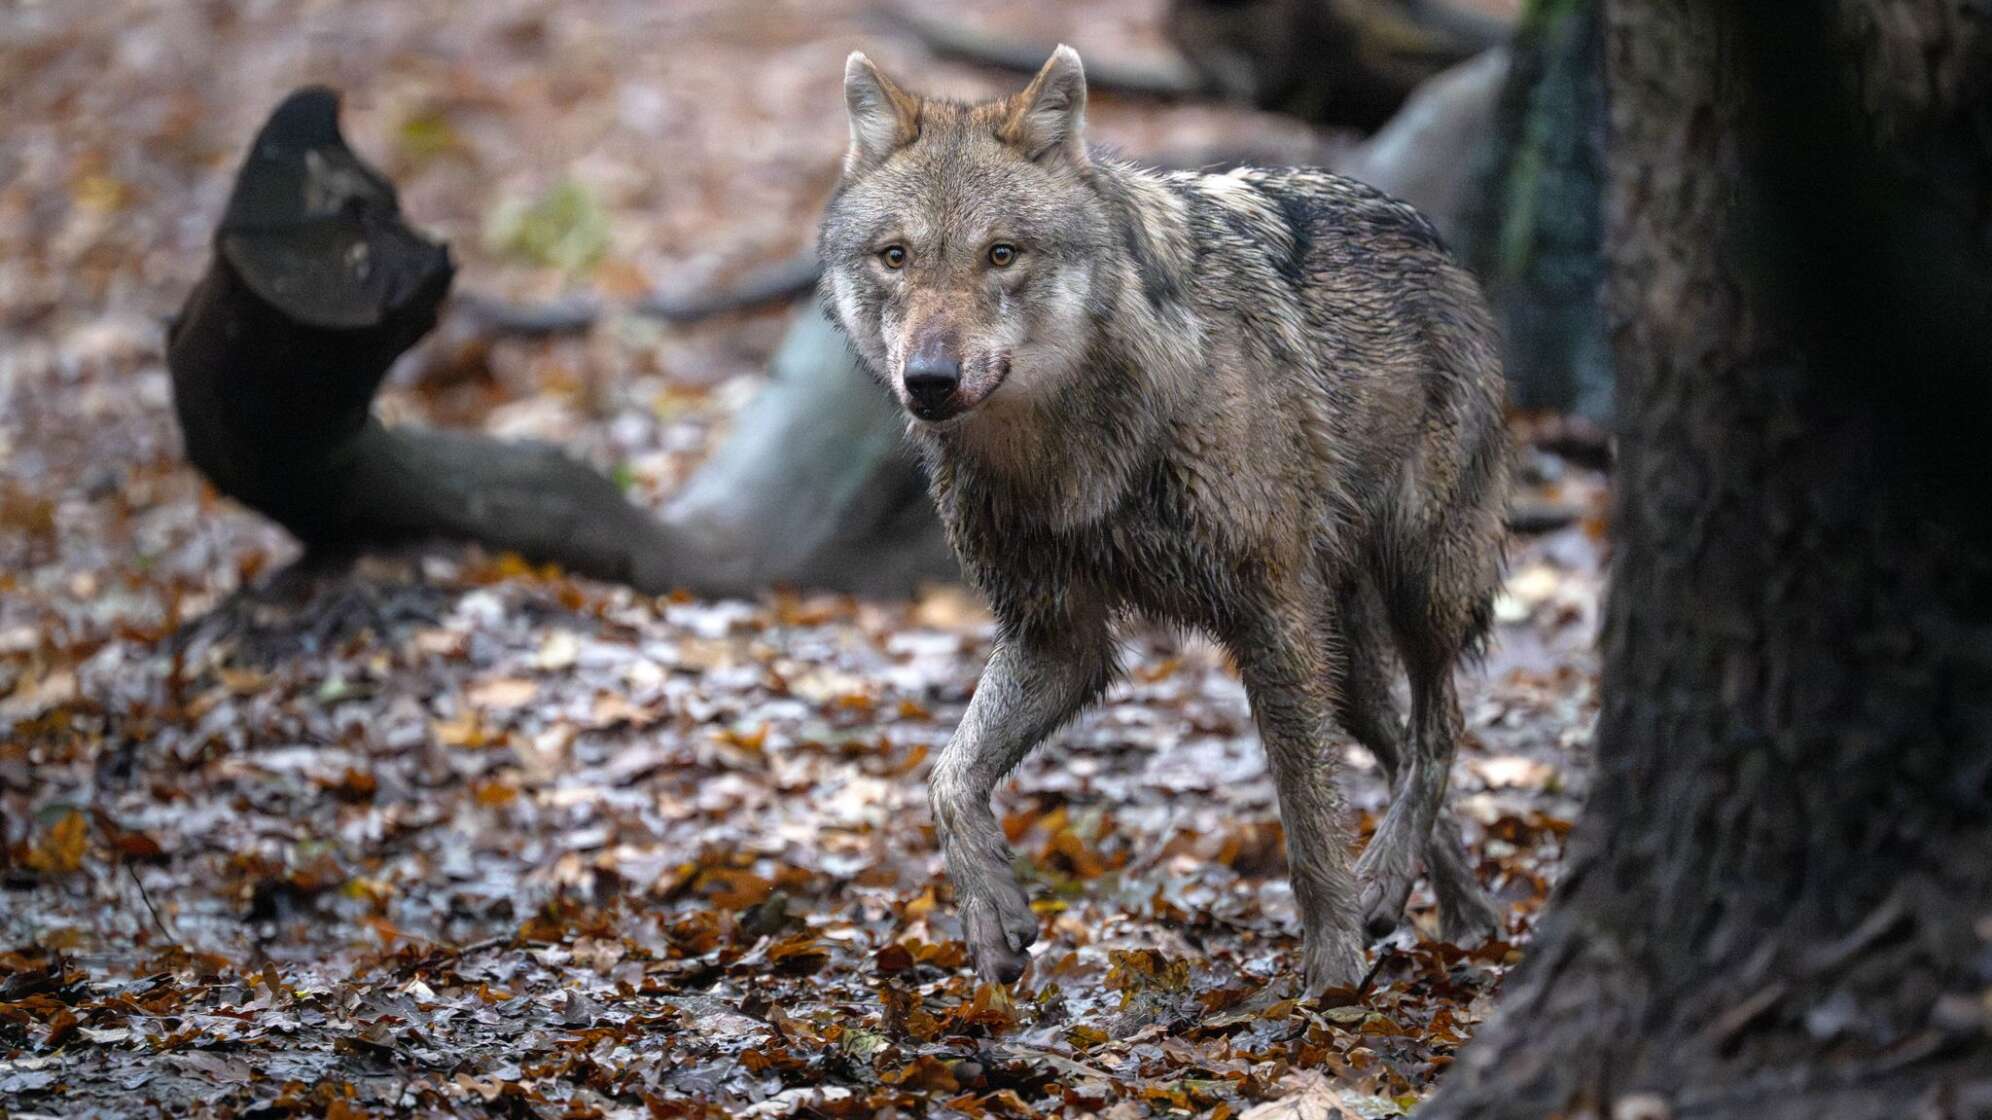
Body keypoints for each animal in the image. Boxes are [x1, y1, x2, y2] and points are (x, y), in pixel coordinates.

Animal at [818, 44, 1510, 993]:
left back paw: (1389, 887)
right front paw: (992, 914)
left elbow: (1305, 821)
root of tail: (1436, 240)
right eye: (895, 256)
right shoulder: (1056, 636)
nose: (928, 380)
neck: (1066, 453)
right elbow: (947, 778)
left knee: (1441, 729)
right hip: (1346, 659)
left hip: (1420, 582)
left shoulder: (1270, 616)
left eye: (1000, 255)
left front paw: (1332, 972)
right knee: (1403, 745)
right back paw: (1450, 908)